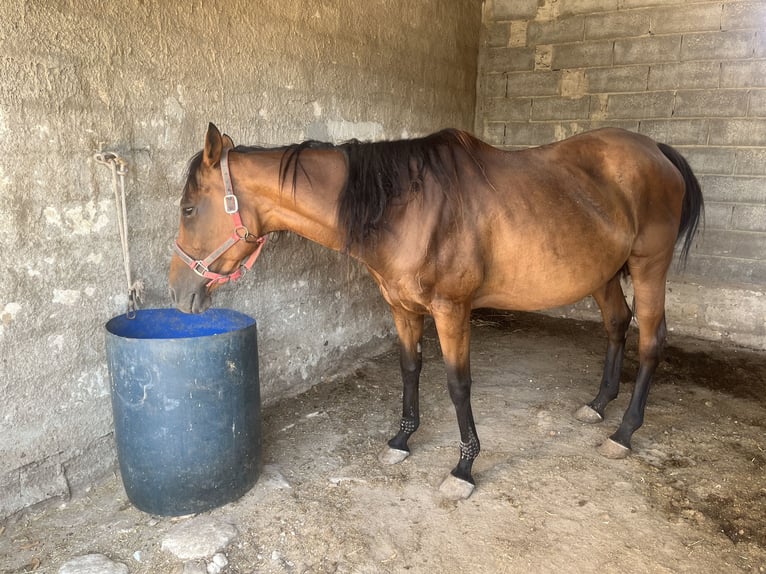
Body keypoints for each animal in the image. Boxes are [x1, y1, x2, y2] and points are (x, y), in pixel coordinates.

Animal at [171, 124, 704, 502]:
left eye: (189, 209)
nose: (179, 292)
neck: (406, 208)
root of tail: (657, 150)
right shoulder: (401, 307)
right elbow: (410, 368)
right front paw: (401, 440)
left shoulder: (451, 310)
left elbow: (457, 383)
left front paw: (464, 467)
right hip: (603, 272)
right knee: (617, 324)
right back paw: (598, 404)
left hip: (648, 267)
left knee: (651, 340)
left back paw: (624, 431)